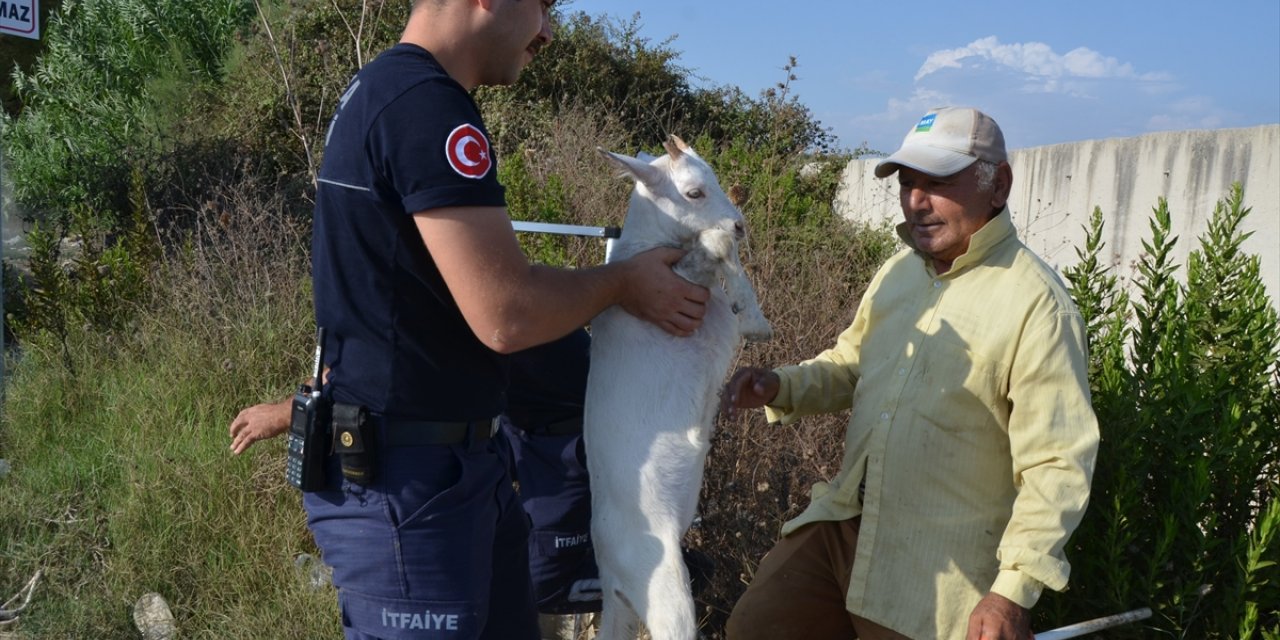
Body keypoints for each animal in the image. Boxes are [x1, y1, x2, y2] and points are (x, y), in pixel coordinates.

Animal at [586, 136, 768, 640]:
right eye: (693, 192)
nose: (741, 223)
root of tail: (611, 577)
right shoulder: (687, 294)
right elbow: (715, 251)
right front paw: (756, 317)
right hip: (668, 594)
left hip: (626, 610)